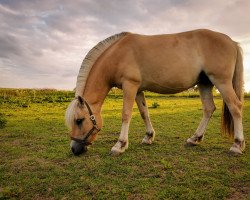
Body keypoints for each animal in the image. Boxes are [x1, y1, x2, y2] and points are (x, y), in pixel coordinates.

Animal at [65, 28, 245, 155]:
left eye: (79, 120)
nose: (74, 149)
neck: (118, 54)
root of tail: (231, 41)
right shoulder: (138, 90)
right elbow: (144, 113)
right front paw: (148, 136)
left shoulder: (130, 86)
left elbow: (126, 114)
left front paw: (120, 145)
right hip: (204, 83)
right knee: (208, 109)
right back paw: (194, 139)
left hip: (221, 81)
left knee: (235, 107)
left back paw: (237, 145)